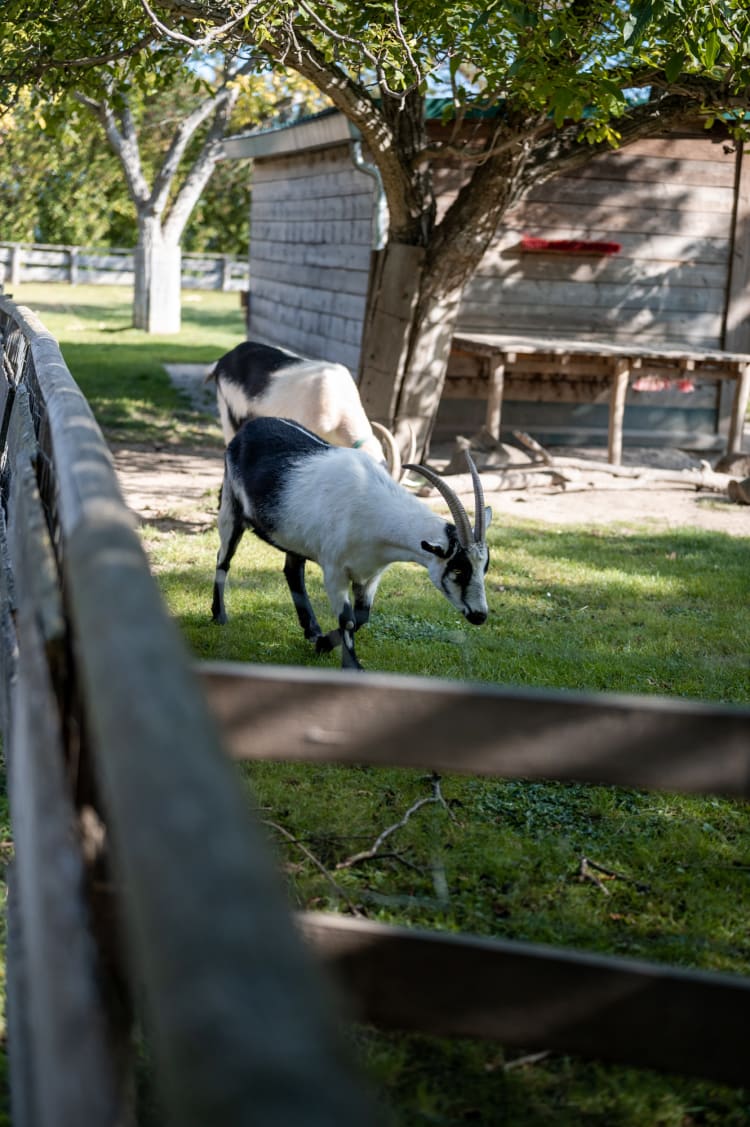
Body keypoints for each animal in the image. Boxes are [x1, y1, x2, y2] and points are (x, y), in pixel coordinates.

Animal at [210, 419, 491, 671]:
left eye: (484, 568)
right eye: (458, 569)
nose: (480, 616)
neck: (375, 509)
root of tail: (247, 429)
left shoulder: (371, 575)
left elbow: (362, 617)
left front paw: (322, 644)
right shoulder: (334, 571)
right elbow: (347, 620)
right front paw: (352, 666)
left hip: (292, 534)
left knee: (292, 571)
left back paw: (312, 631)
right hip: (231, 509)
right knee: (223, 558)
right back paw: (219, 616)